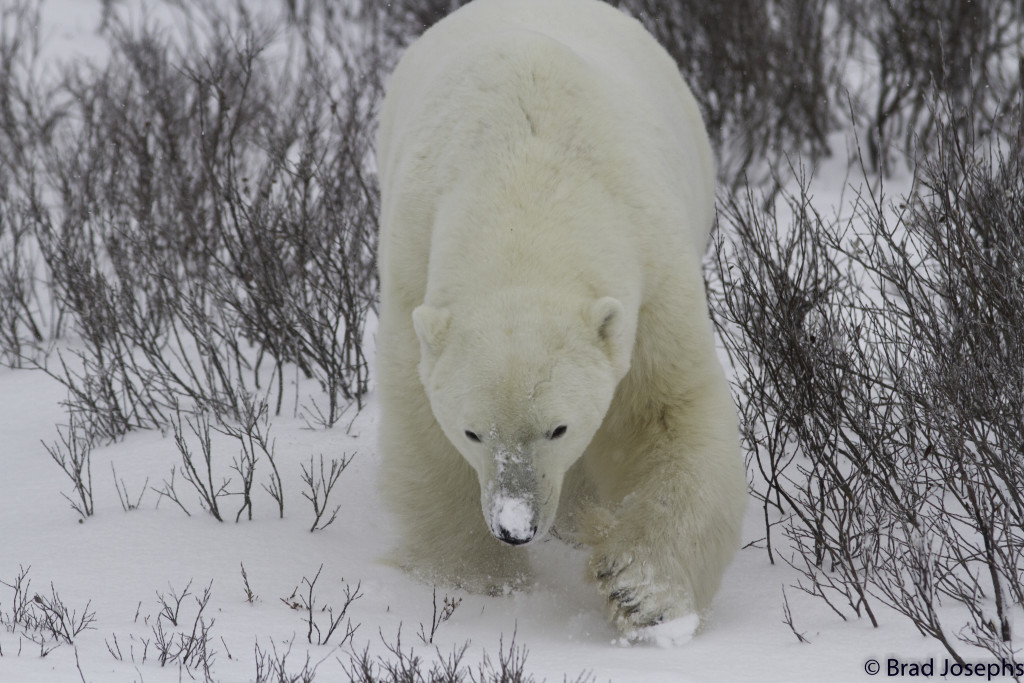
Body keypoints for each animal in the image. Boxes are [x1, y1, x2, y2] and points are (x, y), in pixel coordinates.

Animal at [374, 0, 748, 641]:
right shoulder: (412, 269)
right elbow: (424, 436)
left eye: (558, 428)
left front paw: (638, 591)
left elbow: (666, 412)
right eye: (473, 432)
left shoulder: (652, 273)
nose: (515, 526)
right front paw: (479, 580)